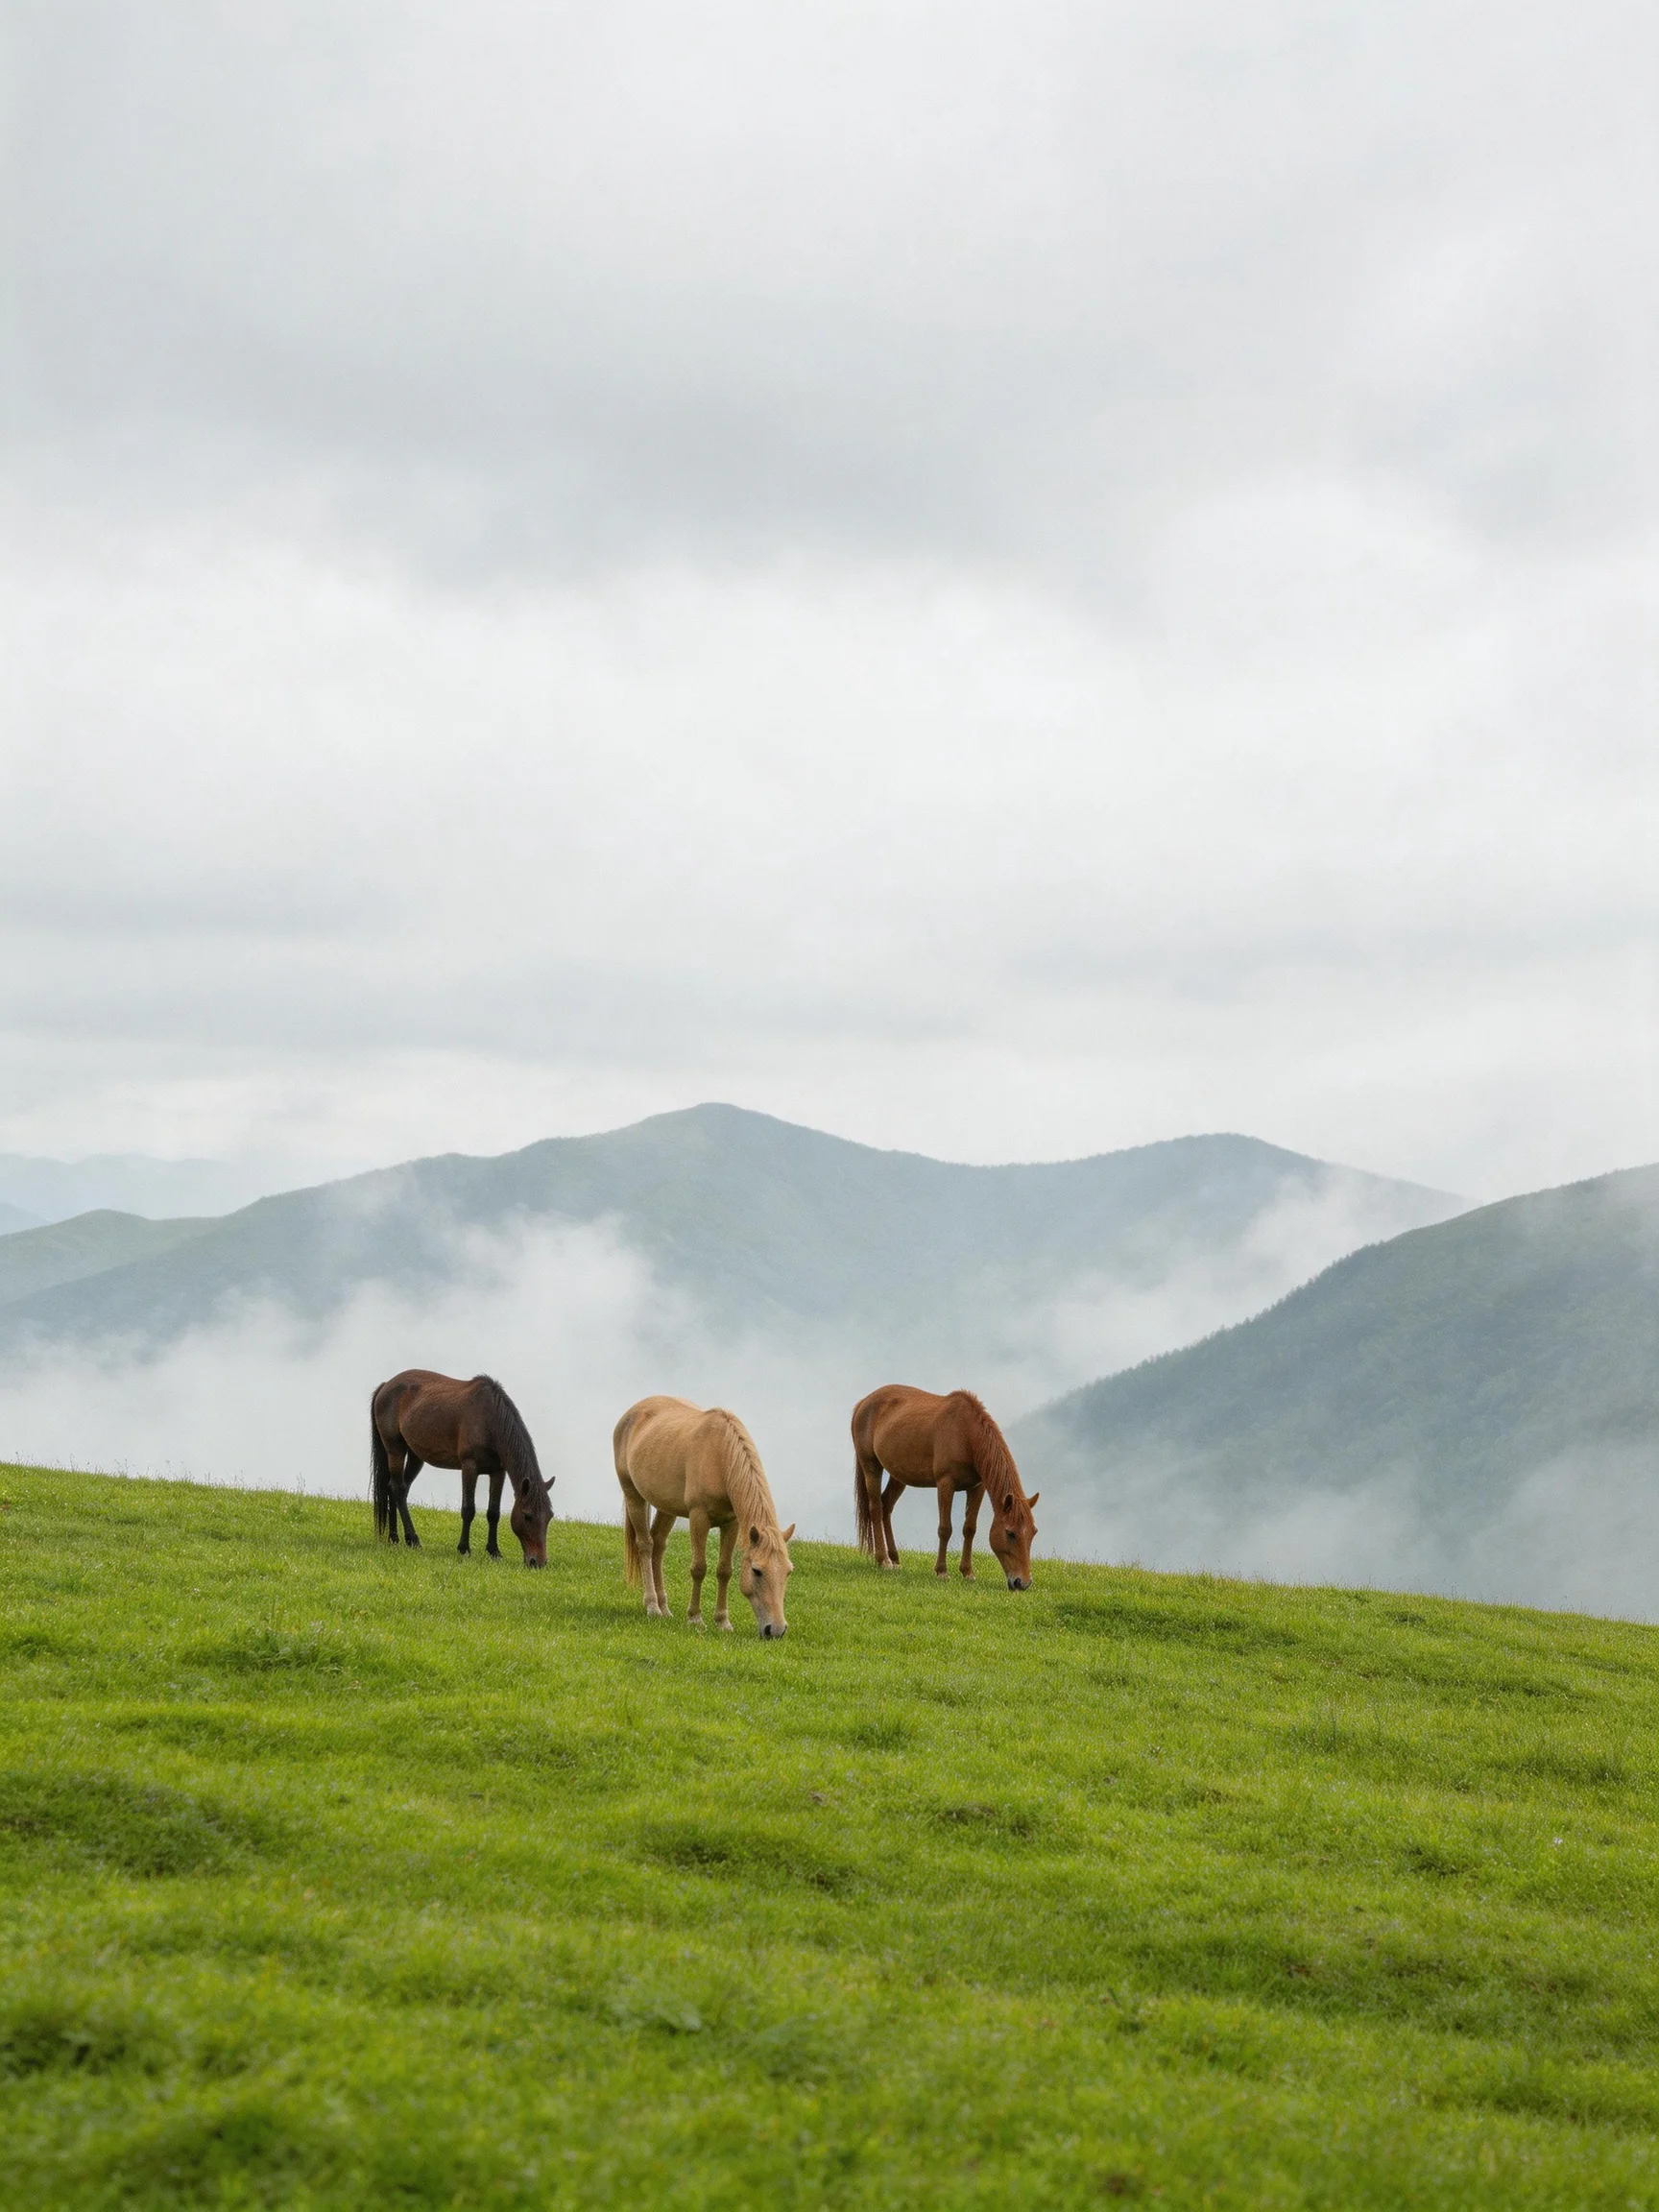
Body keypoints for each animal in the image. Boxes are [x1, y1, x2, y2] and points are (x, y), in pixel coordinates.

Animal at [370, 1370, 553, 1566]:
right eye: (527, 1515)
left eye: (549, 1516)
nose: (538, 1562)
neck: (489, 1419)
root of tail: (386, 1385)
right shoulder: (469, 1468)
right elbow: (468, 1510)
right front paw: (464, 1549)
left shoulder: (498, 1472)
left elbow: (493, 1513)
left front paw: (494, 1551)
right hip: (395, 1449)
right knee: (397, 1489)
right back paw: (412, 1539)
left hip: (415, 1455)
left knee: (396, 1489)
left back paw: (394, 1538)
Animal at [612, 1396, 795, 1638]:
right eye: (757, 1571)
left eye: (788, 1571)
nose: (776, 1630)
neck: (720, 1456)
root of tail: (632, 1412)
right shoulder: (699, 1518)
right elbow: (699, 1568)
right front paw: (695, 1618)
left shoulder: (732, 1523)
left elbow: (724, 1570)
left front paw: (722, 1621)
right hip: (633, 1495)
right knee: (645, 1545)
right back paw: (652, 1606)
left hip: (667, 1507)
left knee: (658, 1545)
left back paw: (664, 1607)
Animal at [851, 1384, 1039, 1589]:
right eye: (1010, 1533)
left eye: (1033, 1533)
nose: (1022, 1582)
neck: (966, 1434)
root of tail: (863, 1403)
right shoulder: (945, 1484)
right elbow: (945, 1528)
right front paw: (942, 1571)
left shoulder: (977, 1488)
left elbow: (969, 1529)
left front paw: (967, 1572)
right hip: (871, 1466)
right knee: (876, 1508)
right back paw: (883, 1560)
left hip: (898, 1476)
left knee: (886, 1506)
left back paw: (894, 1559)